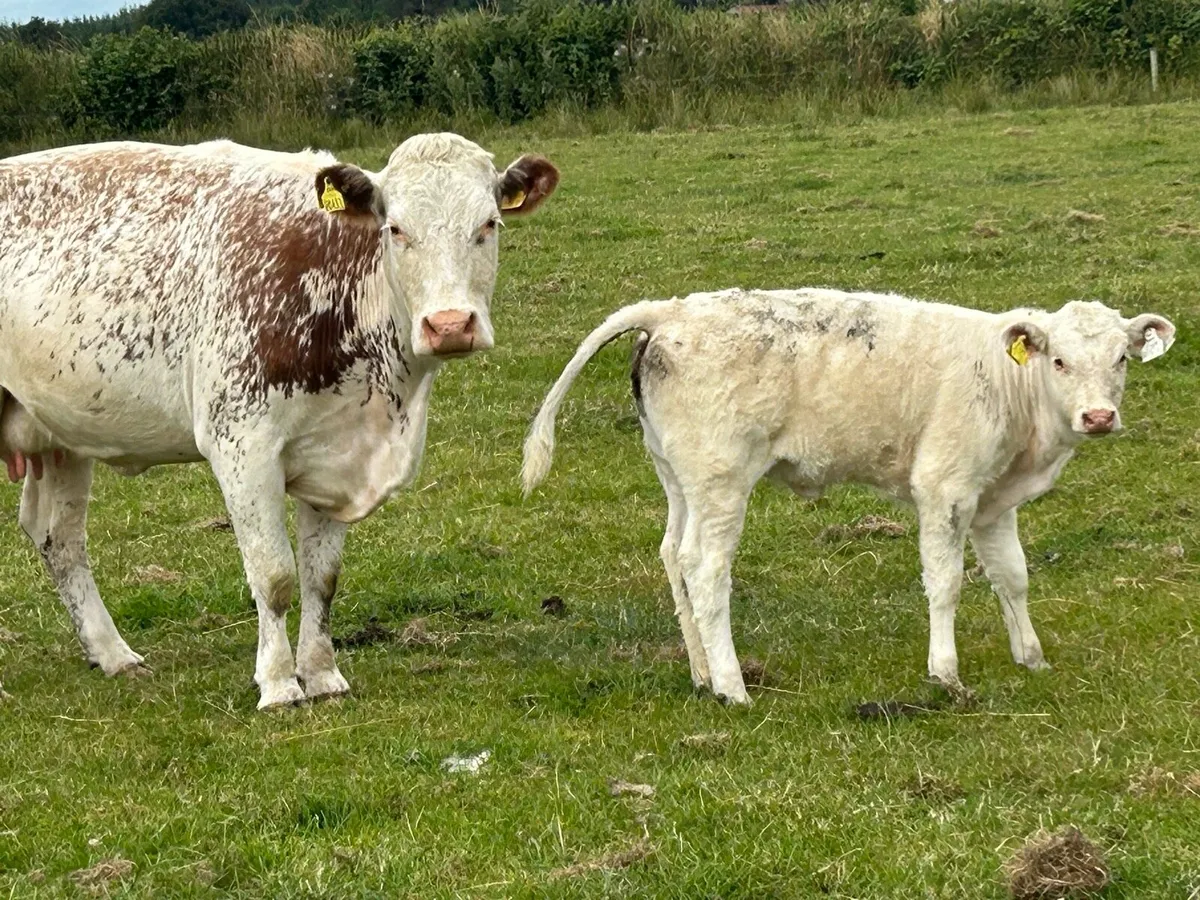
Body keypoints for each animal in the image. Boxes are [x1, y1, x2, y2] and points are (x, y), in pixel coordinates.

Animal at [0, 134, 558, 708]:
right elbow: (274, 576)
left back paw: (113, 653)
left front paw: (322, 674)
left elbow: (321, 578)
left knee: (59, 538)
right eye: (395, 229)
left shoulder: (336, 453)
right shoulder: (241, 446)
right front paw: (278, 683)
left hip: (59, 436)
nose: (449, 326)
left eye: (489, 224)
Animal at [522, 288, 1175, 704]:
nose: (1098, 417)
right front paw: (946, 675)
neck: (1007, 381)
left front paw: (1031, 656)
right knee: (705, 569)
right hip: (721, 479)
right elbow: (946, 582)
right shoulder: (944, 486)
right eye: (1059, 361)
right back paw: (733, 687)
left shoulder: (993, 500)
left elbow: (1012, 577)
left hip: (679, 478)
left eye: (1121, 358)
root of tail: (669, 310)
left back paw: (703, 675)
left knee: (672, 555)